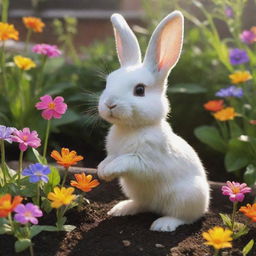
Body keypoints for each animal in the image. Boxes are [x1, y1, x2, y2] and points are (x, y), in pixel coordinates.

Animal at [97, 10, 209, 232]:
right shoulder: (113, 152)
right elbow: (109, 158)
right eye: (108, 83)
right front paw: (101, 170)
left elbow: (126, 160)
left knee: (186, 217)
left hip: (187, 197)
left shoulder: (147, 161)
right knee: (142, 205)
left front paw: (108, 171)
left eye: (140, 90)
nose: (110, 104)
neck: (131, 128)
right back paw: (121, 208)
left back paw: (163, 224)